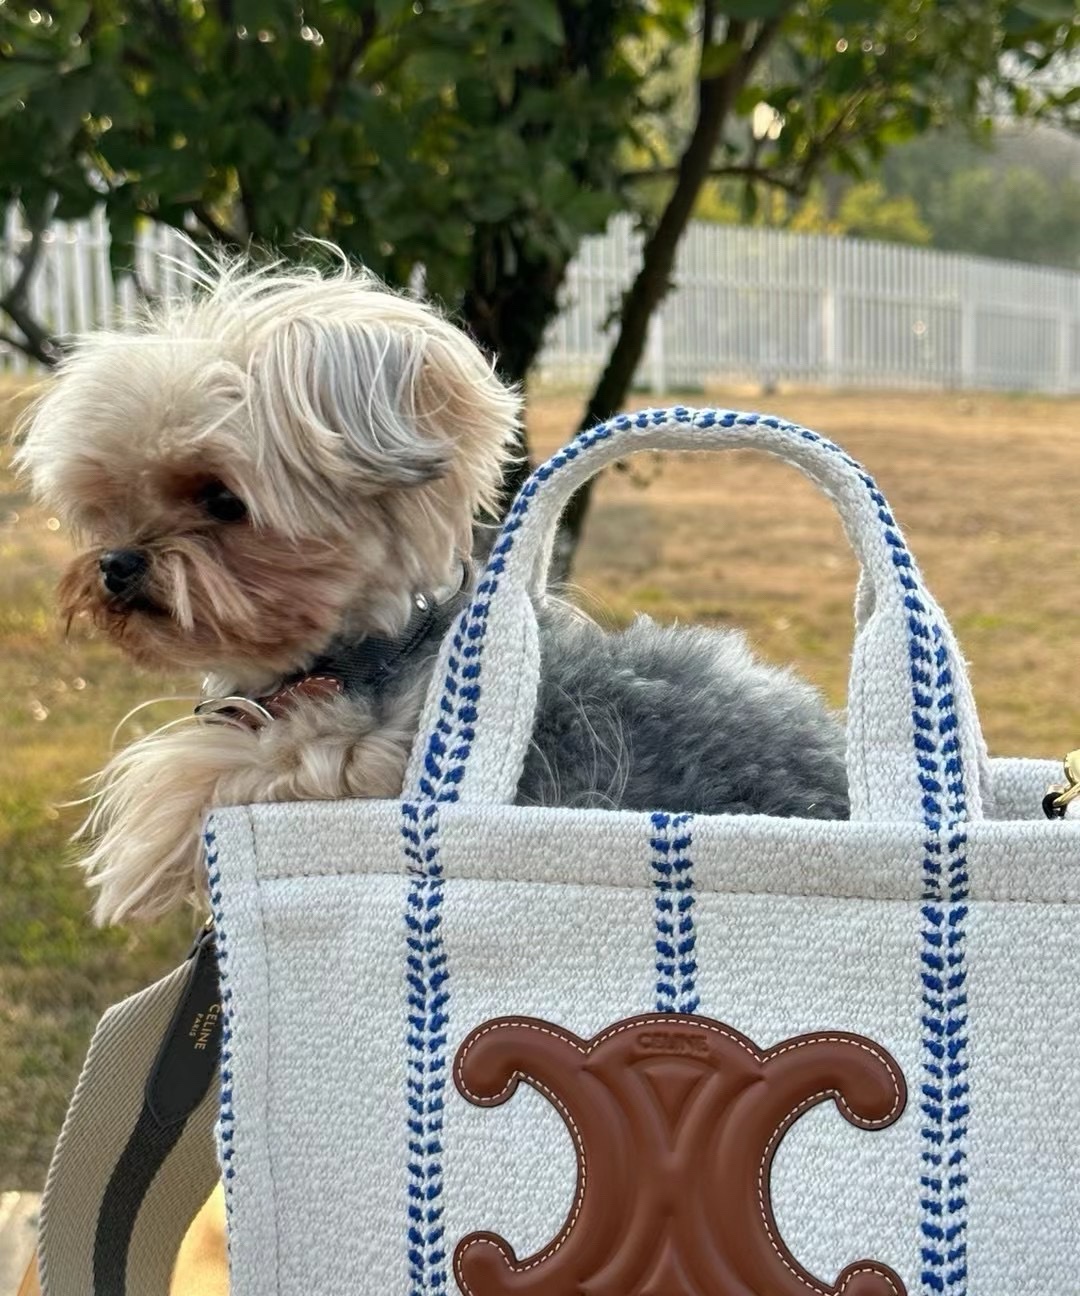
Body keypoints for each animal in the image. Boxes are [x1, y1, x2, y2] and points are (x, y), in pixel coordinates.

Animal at [15, 251, 848, 926]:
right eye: (110, 502)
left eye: (222, 499)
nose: (117, 564)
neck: (355, 655)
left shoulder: (369, 759)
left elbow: (231, 761)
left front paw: (142, 846)